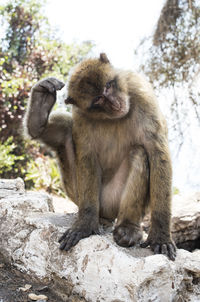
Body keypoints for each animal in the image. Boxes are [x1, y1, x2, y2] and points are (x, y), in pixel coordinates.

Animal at [25, 52, 177, 260]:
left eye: (108, 86)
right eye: (98, 99)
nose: (115, 103)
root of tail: (106, 215)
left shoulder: (141, 92)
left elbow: (157, 154)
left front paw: (161, 236)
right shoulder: (81, 114)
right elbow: (87, 157)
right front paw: (85, 225)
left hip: (112, 200)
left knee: (139, 153)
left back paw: (128, 227)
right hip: (84, 196)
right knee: (65, 130)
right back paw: (38, 114)